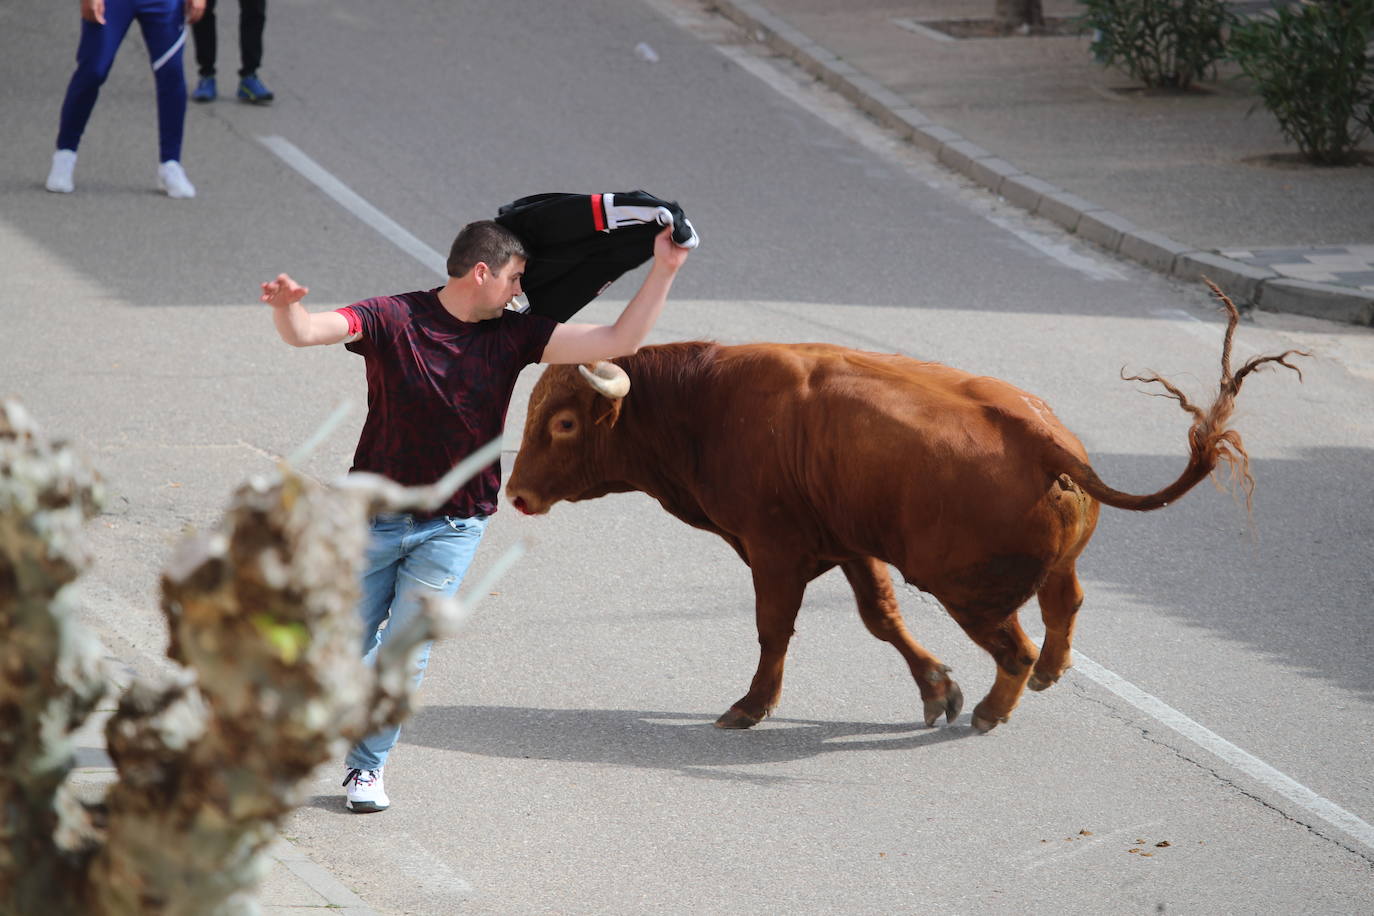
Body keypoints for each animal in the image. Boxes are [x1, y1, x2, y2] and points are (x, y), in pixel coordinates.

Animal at [511, 289, 1302, 736]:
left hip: (968, 590)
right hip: (1039, 568)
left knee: (1014, 645)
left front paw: (751, 706)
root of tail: (1042, 438)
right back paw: (1044, 674)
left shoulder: (774, 550)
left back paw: (993, 710)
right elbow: (881, 618)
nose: (515, 494)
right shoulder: (849, 543)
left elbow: (774, 630)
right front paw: (937, 689)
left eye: (564, 424)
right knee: (1064, 603)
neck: (703, 404)